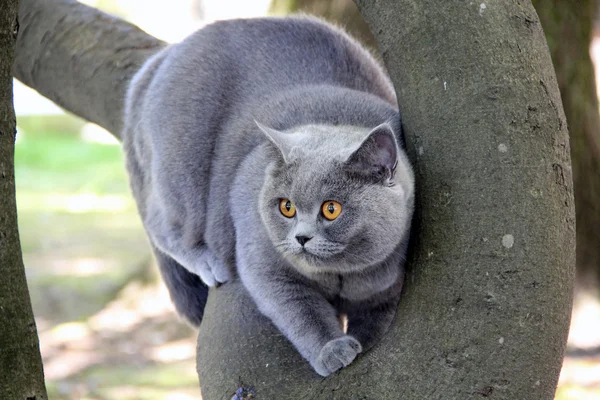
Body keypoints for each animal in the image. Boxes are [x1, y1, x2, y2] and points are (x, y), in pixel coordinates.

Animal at [121, 15, 412, 376]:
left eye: (331, 209)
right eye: (286, 207)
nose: (301, 237)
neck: (341, 276)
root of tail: (169, 52)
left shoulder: (387, 286)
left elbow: (375, 320)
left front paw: (362, 342)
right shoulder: (267, 266)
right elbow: (301, 312)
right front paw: (331, 350)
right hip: (183, 163)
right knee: (162, 224)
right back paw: (207, 261)